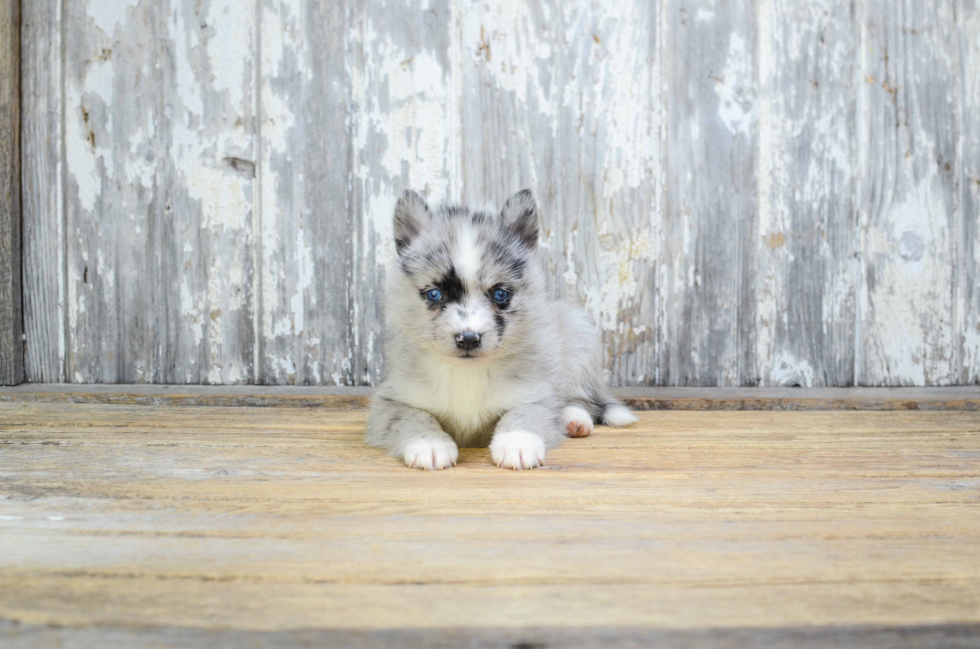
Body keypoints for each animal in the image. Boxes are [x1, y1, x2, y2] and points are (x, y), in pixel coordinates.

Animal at [366, 190, 636, 468]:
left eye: (500, 294)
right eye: (434, 294)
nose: (468, 339)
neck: (467, 373)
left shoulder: (532, 393)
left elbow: (524, 413)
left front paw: (517, 443)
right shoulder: (392, 400)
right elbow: (412, 418)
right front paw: (429, 444)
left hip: (578, 339)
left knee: (580, 399)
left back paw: (573, 419)